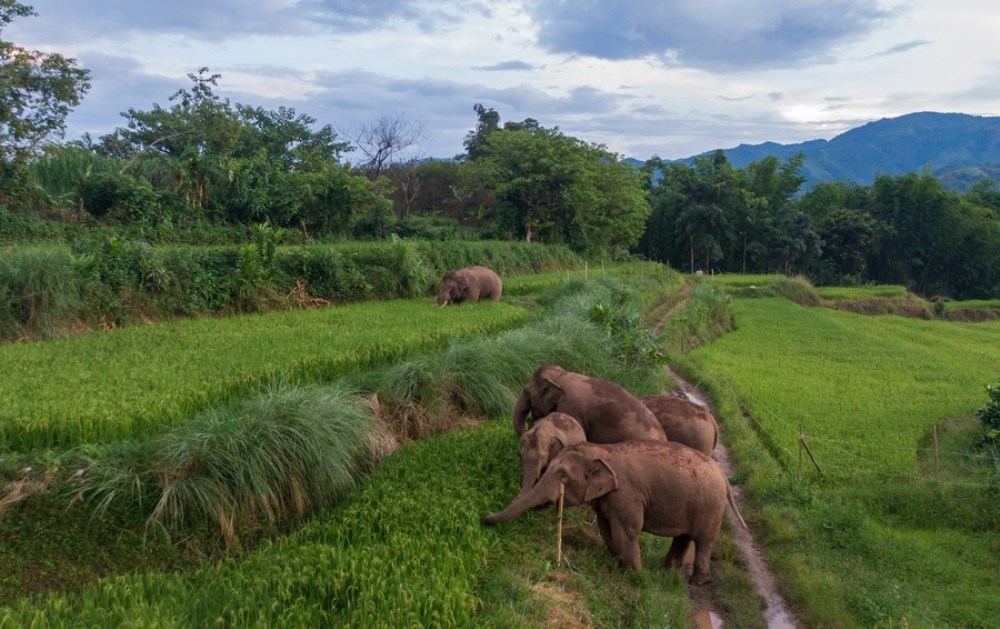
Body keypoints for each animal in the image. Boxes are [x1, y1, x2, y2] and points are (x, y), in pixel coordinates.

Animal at [482, 440, 746, 585]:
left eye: (563, 475)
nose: (483, 517)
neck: (604, 451)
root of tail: (724, 478)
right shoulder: (607, 499)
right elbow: (606, 528)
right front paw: (616, 562)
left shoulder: (626, 495)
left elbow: (626, 532)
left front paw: (637, 576)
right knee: (683, 537)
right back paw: (665, 571)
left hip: (710, 507)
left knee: (702, 540)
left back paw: (698, 582)